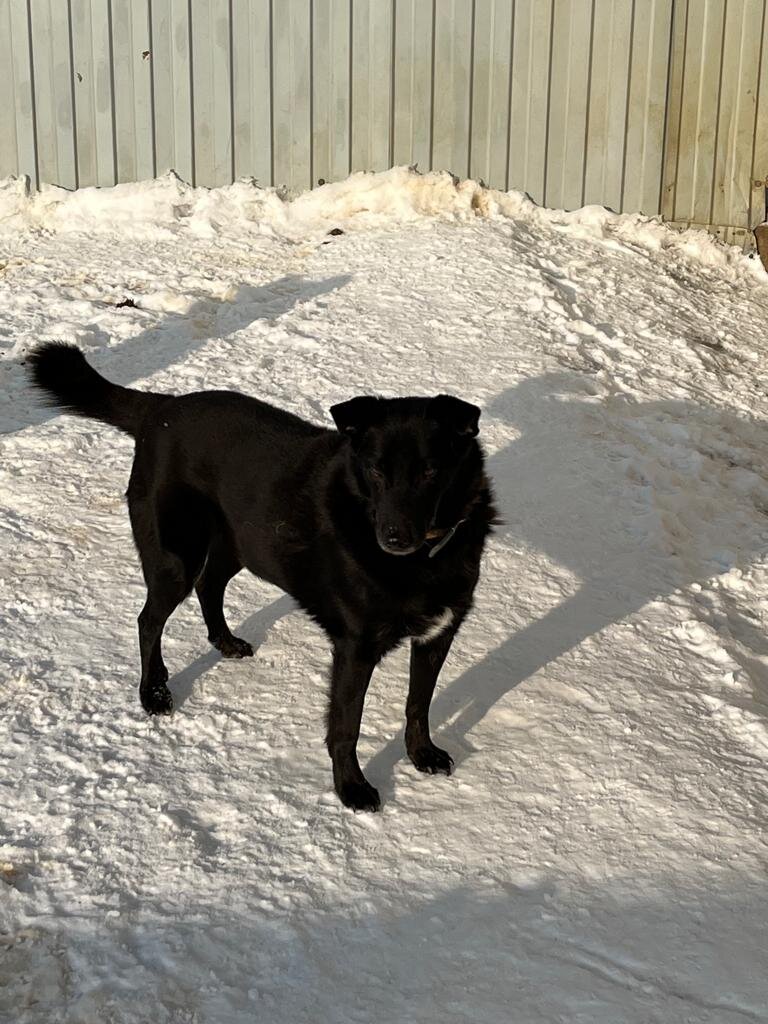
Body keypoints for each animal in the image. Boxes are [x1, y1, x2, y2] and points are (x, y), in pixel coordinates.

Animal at [28, 344, 499, 806]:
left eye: (430, 471)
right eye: (377, 470)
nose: (393, 537)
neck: (426, 557)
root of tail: (159, 407)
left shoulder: (438, 634)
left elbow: (419, 704)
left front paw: (422, 754)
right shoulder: (355, 648)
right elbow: (346, 726)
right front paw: (351, 788)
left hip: (242, 544)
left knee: (209, 585)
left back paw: (224, 641)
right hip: (176, 558)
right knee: (149, 619)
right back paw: (153, 693)